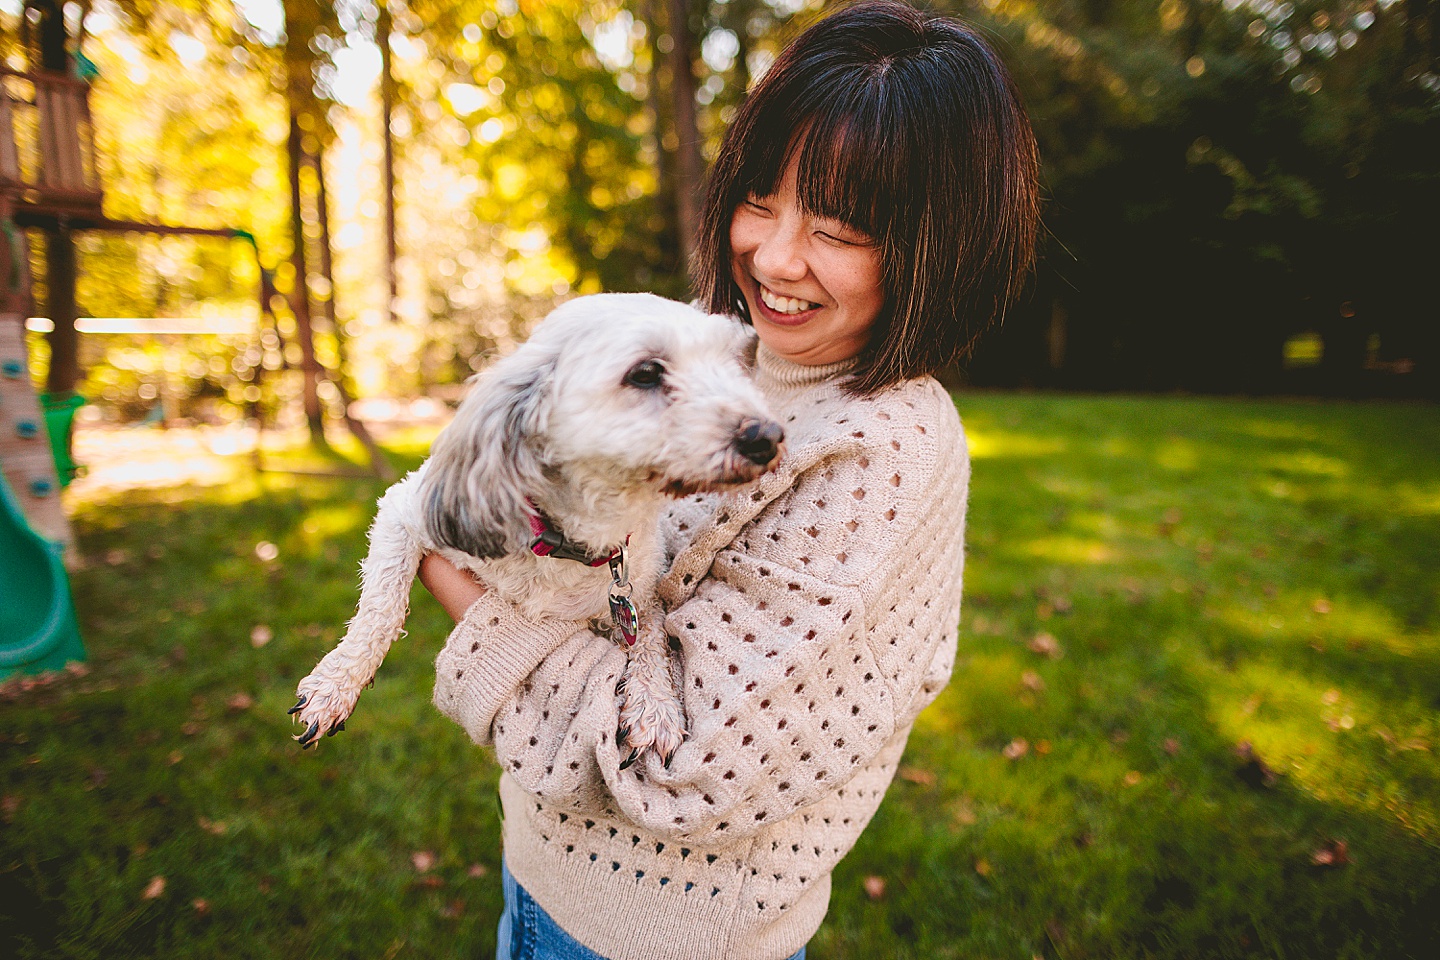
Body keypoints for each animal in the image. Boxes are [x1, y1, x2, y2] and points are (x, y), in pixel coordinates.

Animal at [286, 293, 783, 765]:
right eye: (645, 373)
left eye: (731, 364)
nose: (768, 436)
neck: (568, 541)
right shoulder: (405, 512)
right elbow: (381, 607)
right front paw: (337, 685)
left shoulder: (640, 590)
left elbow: (651, 638)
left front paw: (655, 705)